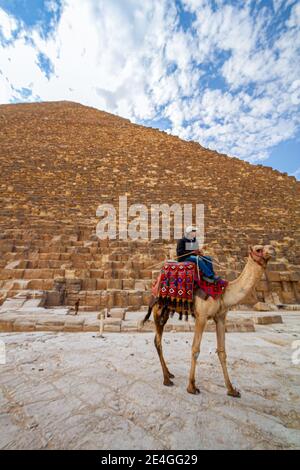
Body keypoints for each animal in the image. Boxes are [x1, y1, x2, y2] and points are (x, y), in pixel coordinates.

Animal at [143, 246, 276, 396]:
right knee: (158, 341)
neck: (223, 293)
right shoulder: (201, 316)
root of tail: (155, 283)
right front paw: (192, 387)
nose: (272, 249)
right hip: (158, 309)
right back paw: (166, 379)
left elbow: (222, 352)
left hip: (165, 310)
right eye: (259, 249)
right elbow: (195, 349)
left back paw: (169, 373)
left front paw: (231, 390)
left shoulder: (221, 318)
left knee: (157, 339)